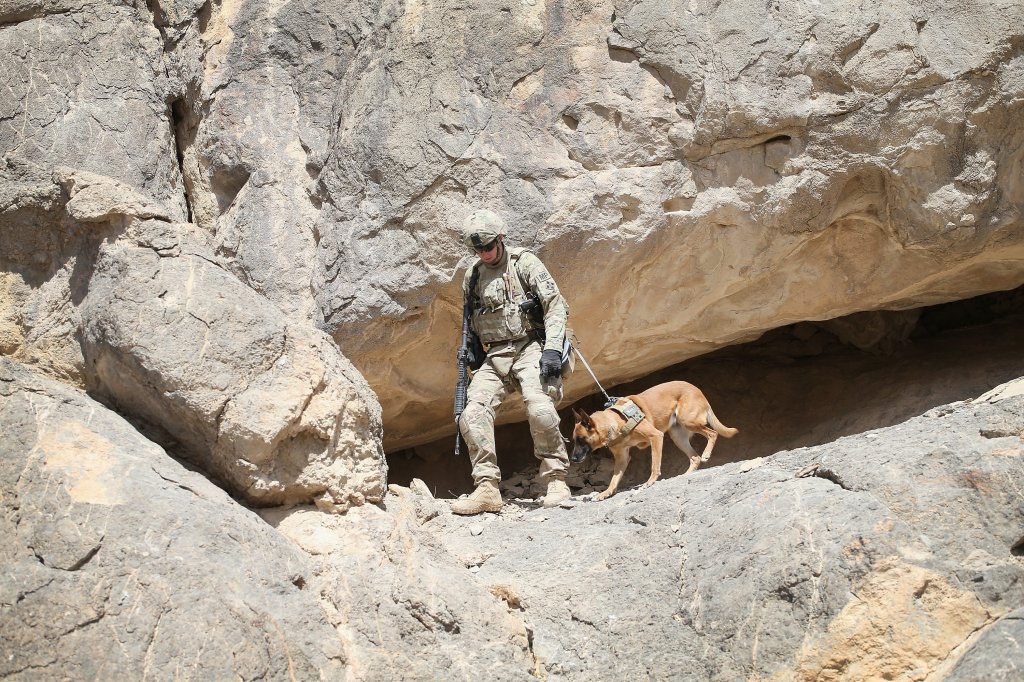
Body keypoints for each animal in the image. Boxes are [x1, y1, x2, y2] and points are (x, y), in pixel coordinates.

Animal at [577, 378, 737, 497]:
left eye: (581, 439)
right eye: (575, 440)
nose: (573, 458)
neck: (615, 422)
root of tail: (698, 390)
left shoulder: (656, 437)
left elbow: (655, 465)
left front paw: (650, 482)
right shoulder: (622, 457)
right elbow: (615, 478)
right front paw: (607, 492)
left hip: (689, 421)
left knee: (713, 433)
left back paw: (706, 454)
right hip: (678, 436)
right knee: (694, 457)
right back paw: (686, 474)